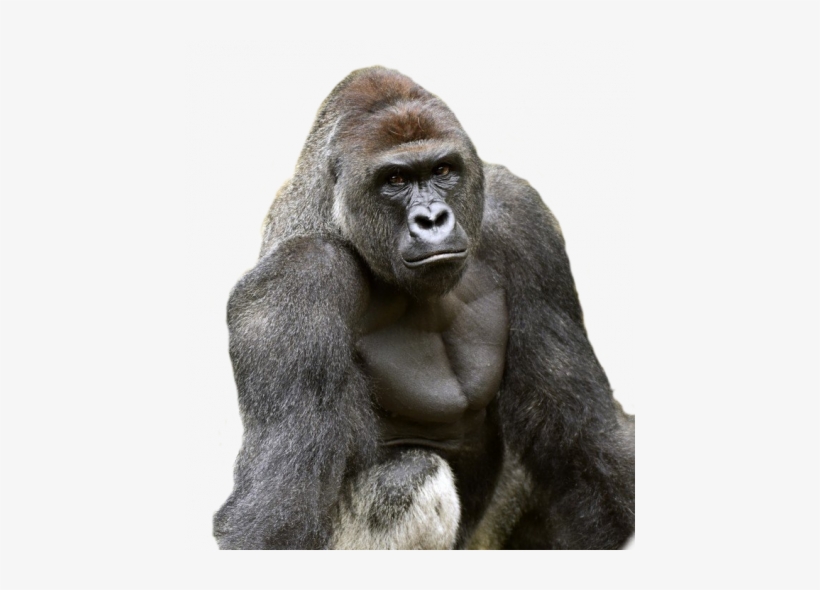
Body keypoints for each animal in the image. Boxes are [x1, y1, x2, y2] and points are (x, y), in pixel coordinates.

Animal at [213, 66, 635, 549]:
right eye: (395, 180)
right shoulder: (296, 281)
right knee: (411, 475)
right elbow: (279, 509)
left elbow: (588, 437)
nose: (432, 219)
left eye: (442, 170)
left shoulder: (522, 217)